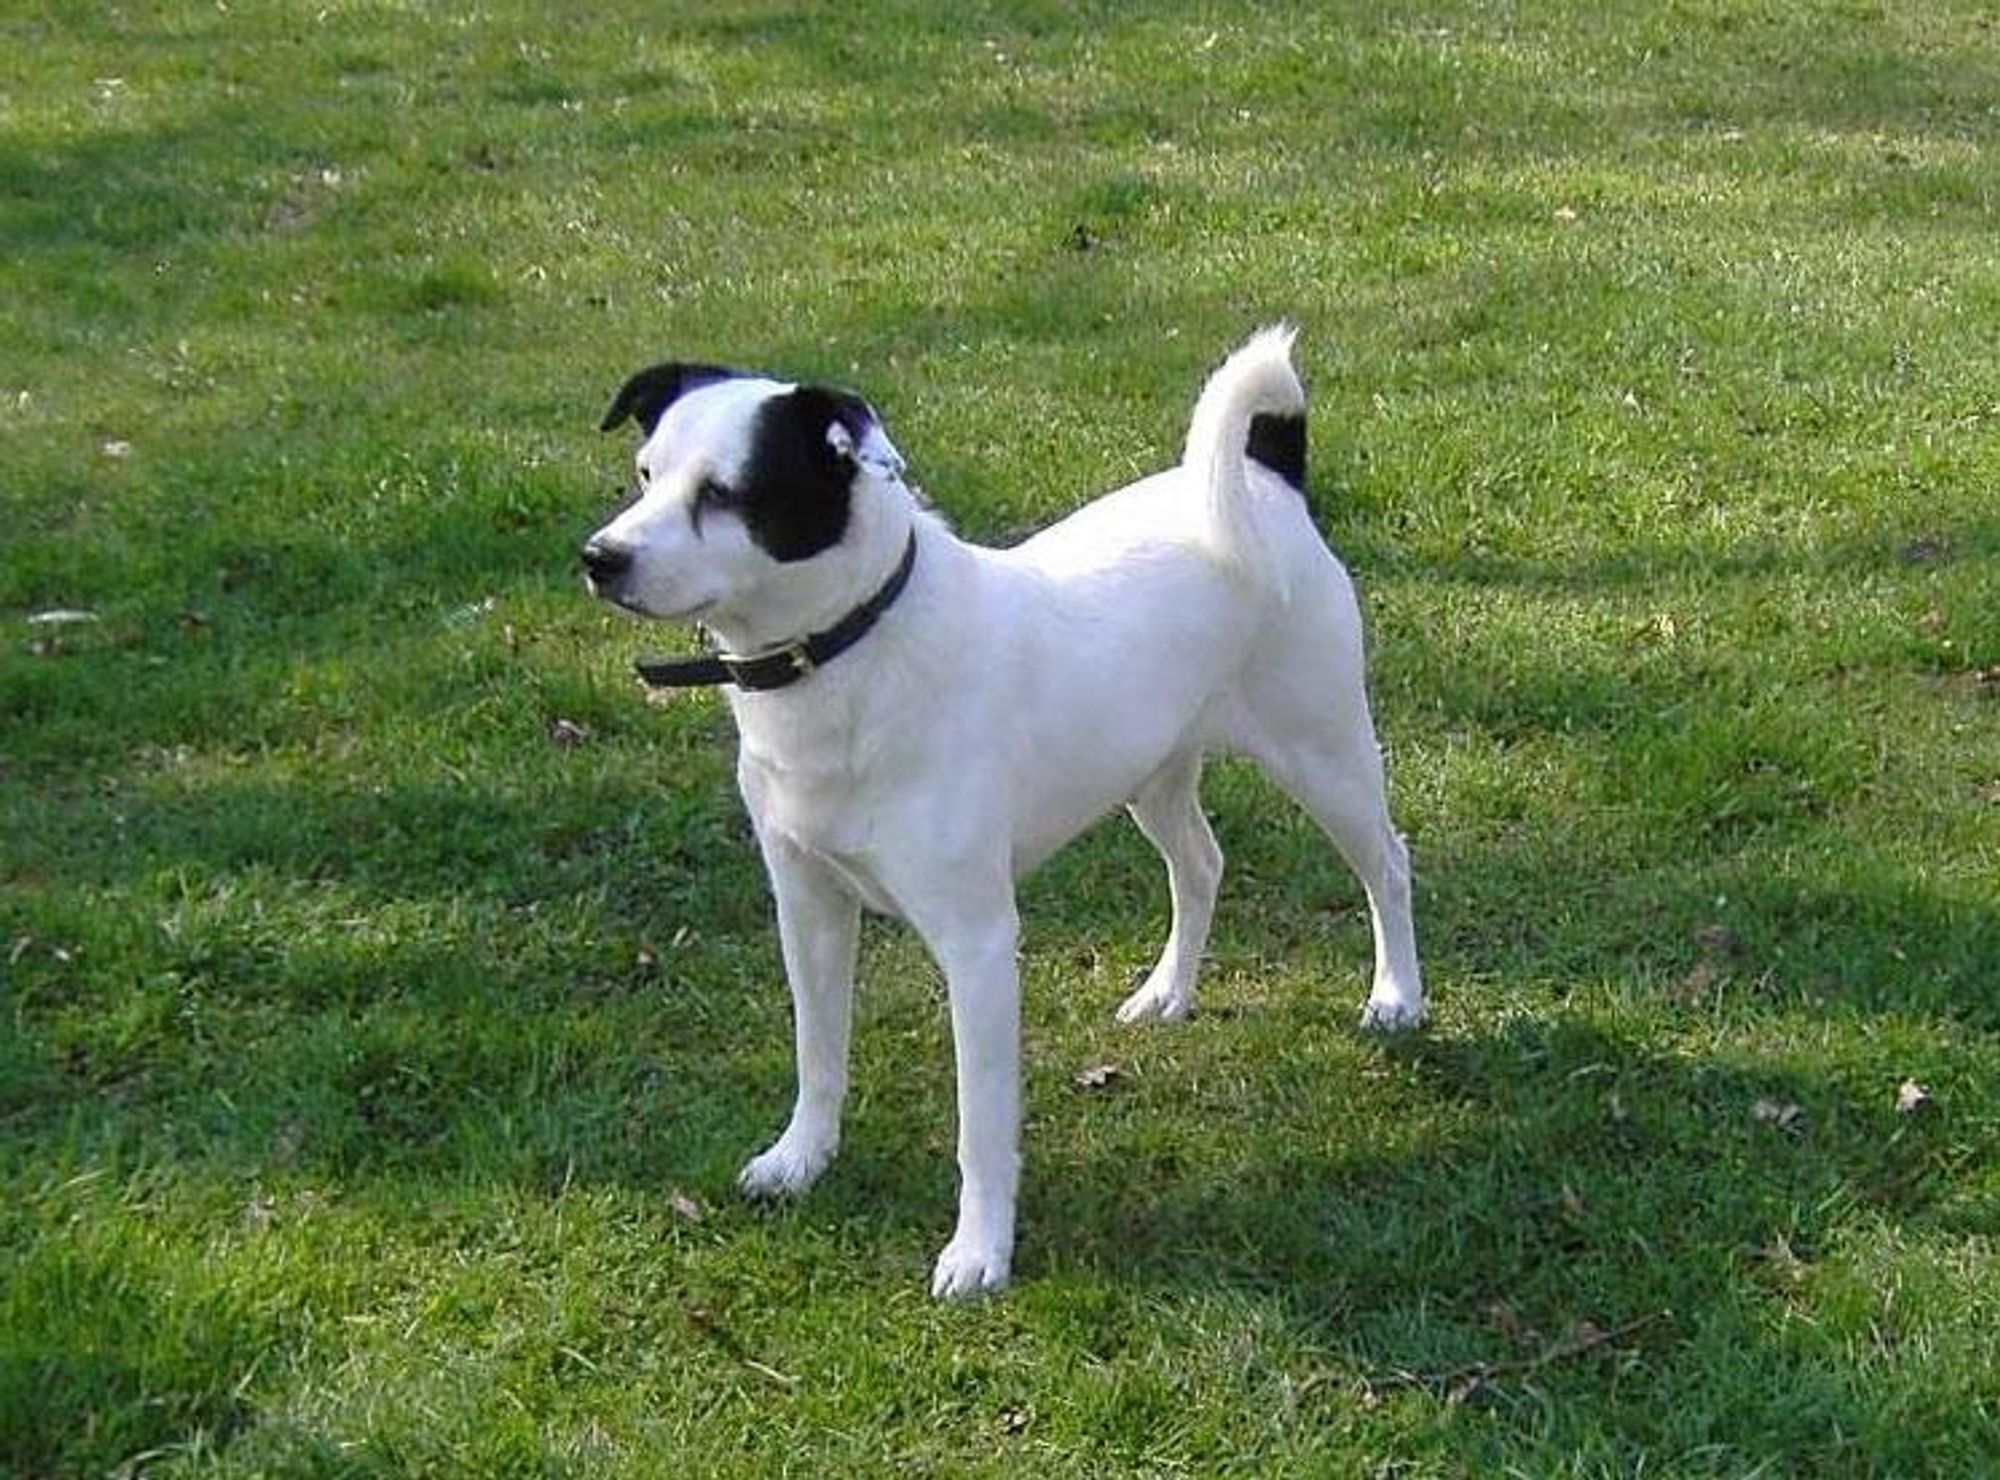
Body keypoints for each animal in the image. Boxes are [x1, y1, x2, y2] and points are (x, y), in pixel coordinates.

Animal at [580, 326, 1424, 1296]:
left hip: (1322, 752)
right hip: (1150, 769)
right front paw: (803, 1158)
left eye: (725, 493)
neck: (851, 647)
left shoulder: (977, 943)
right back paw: (1167, 991)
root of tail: (1268, 481)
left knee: (1387, 863)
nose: (600, 557)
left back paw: (1398, 996)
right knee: (1202, 863)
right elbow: (818, 1053)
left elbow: (980, 1125)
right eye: (644, 473)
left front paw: (979, 1251)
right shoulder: (808, 904)